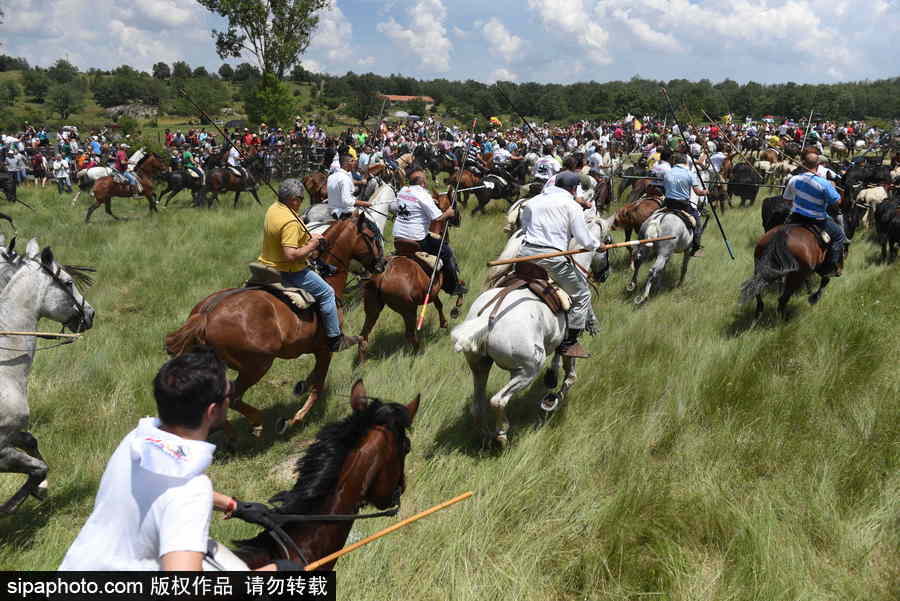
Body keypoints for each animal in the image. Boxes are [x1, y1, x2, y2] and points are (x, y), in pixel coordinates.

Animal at [0, 237, 96, 512]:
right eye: (68, 282)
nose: (90, 314)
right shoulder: (1, 450)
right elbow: (39, 469)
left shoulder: (13, 434)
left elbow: (32, 442)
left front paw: (40, 490)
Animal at [165, 213, 386, 434]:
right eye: (372, 236)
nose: (382, 264)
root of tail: (205, 315)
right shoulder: (327, 348)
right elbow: (318, 384)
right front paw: (297, 417)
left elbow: (320, 372)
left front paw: (302, 386)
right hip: (257, 365)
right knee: (233, 397)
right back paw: (258, 422)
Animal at [356, 190, 464, 358]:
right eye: (455, 203)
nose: (459, 218)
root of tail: (381, 279)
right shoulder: (441, 283)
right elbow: (457, 287)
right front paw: (457, 305)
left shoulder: (432, 290)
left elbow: (438, 304)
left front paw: (444, 322)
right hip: (408, 310)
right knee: (410, 334)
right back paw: (419, 351)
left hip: (372, 307)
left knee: (363, 337)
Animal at [450, 220, 612, 446]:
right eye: (607, 242)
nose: (605, 275)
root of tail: (487, 319)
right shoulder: (570, 343)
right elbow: (570, 376)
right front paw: (552, 399)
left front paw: (551, 379)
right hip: (527, 369)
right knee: (498, 400)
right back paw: (502, 433)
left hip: (480, 365)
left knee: (478, 406)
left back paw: (486, 436)